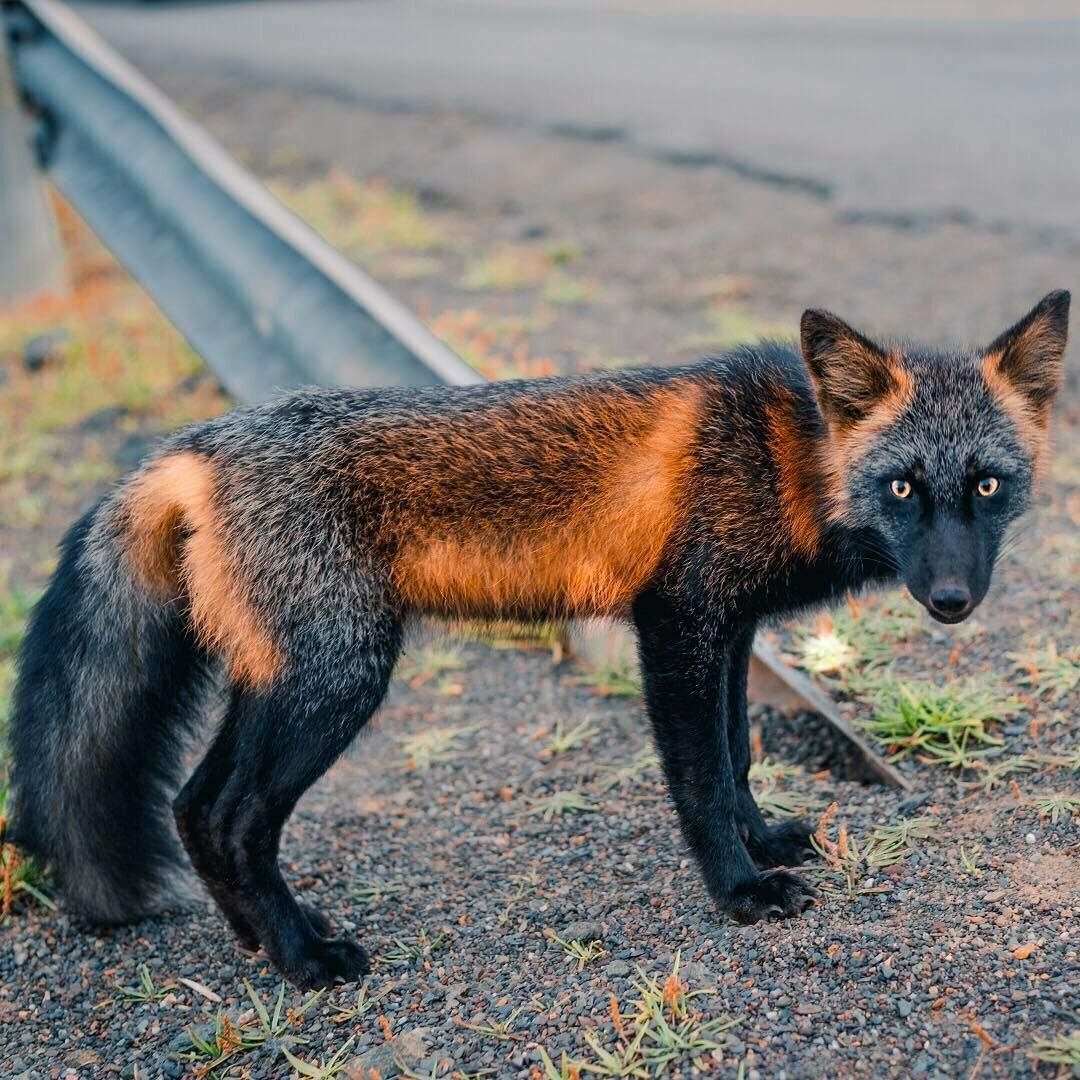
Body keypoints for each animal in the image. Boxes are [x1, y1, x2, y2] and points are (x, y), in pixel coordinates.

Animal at [10, 289, 1071, 989]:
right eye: (903, 487)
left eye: (987, 485)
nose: (951, 600)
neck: (784, 456)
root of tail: (195, 446)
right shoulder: (675, 624)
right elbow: (698, 779)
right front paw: (738, 890)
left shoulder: (728, 632)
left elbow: (735, 759)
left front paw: (765, 838)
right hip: (338, 680)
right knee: (230, 819)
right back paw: (304, 959)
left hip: (282, 682)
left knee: (194, 809)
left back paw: (267, 937)